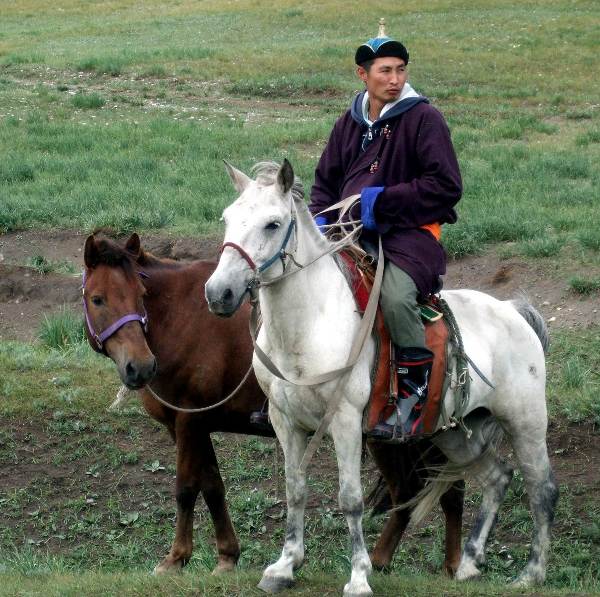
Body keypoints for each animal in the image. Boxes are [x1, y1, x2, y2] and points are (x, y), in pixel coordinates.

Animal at [82, 232, 465, 577]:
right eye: (98, 299)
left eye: (141, 295)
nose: (140, 367)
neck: (181, 317)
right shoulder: (193, 426)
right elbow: (212, 486)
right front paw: (227, 556)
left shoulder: (188, 423)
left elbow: (186, 488)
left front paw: (176, 558)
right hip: (396, 439)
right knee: (411, 490)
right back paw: (386, 560)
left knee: (446, 490)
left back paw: (453, 565)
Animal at [205, 160, 558, 595]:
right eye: (227, 218)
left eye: (272, 224)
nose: (218, 293)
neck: (309, 324)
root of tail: (512, 311)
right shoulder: (285, 421)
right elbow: (295, 489)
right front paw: (285, 566)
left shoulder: (343, 422)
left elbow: (350, 498)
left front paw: (359, 576)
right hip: (455, 431)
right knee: (497, 478)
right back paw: (469, 563)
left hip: (525, 422)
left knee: (541, 490)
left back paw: (531, 573)